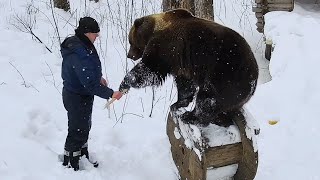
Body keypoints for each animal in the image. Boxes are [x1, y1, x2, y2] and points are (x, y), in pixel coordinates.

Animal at [119, 9, 258, 126]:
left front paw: (125, 82)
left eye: (130, 41)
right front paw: (177, 103)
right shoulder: (182, 62)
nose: (129, 55)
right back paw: (221, 119)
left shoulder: (165, 47)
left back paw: (191, 116)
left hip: (225, 74)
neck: (153, 30)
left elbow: (151, 69)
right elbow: (185, 84)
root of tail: (254, 78)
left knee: (208, 98)